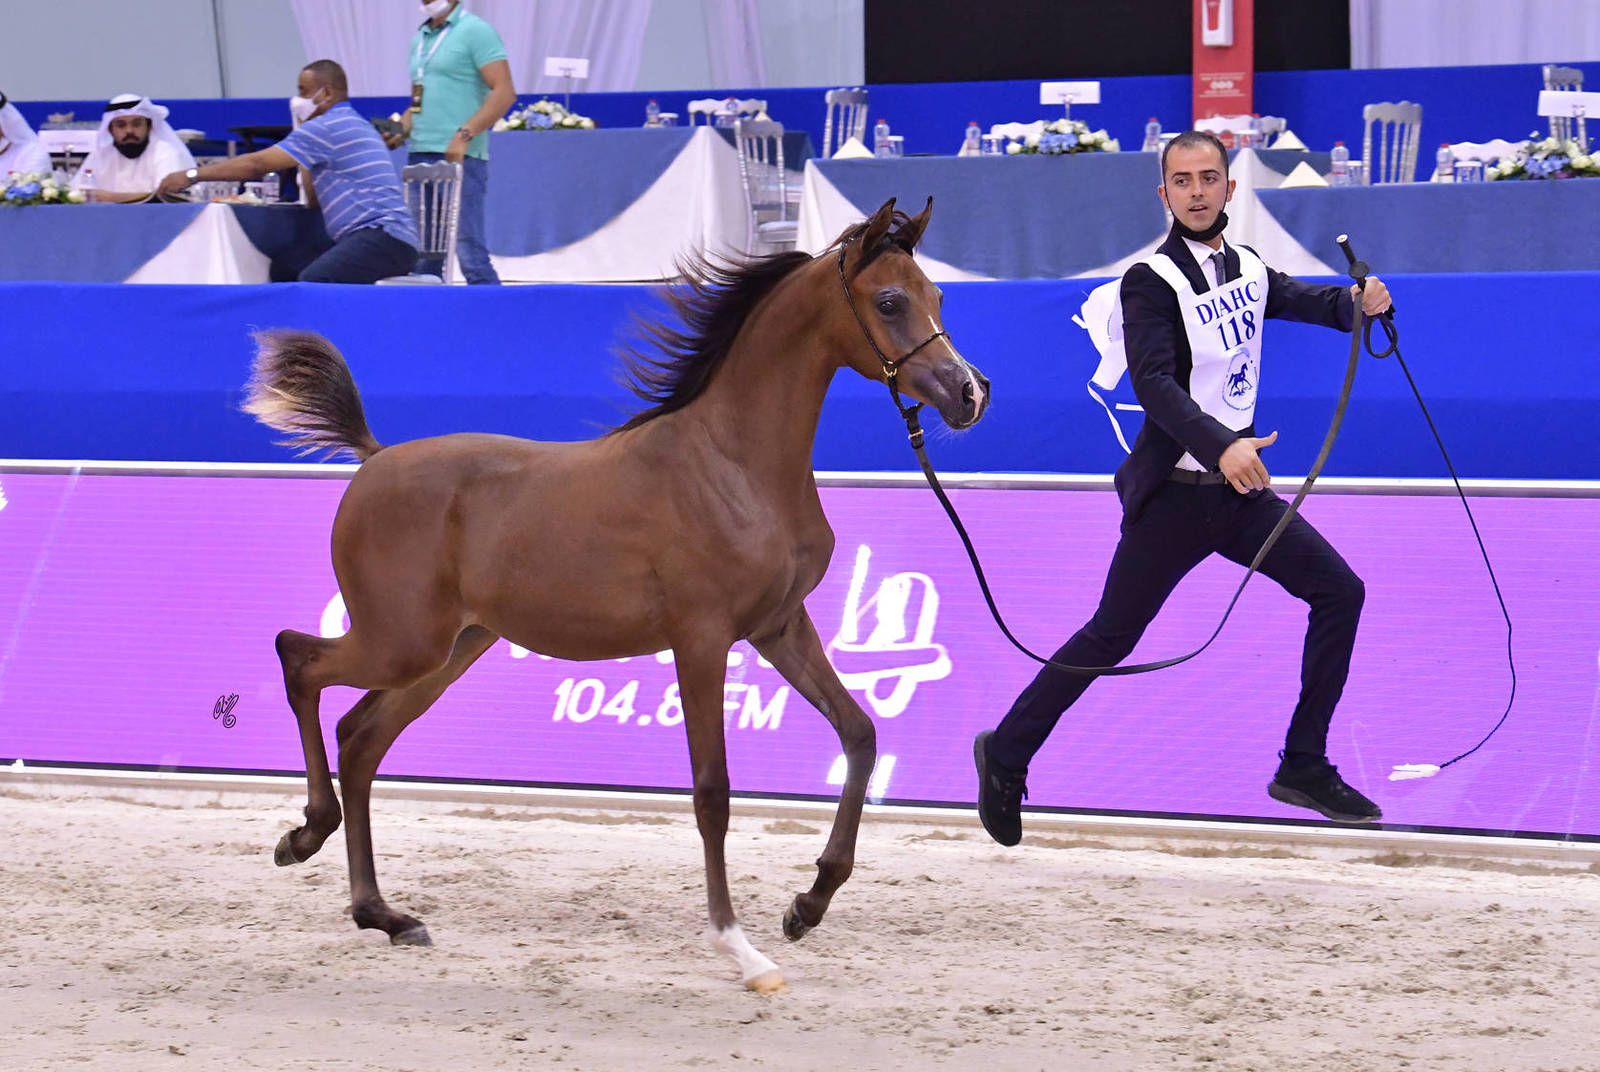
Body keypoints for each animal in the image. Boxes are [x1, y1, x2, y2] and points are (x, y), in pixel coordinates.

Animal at [242, 197, 989, 993]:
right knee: (299, 660)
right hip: (401, 640)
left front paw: (807, 905)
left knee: (361, 738)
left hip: (448, 650)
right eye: (890, 301)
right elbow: (712, 792)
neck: (735, 464)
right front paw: (741, 949)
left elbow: (860, 734)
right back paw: (305, 836)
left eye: (940, 297)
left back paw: (382, 914)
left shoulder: (780, 627)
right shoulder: (703, 640)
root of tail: (375, 458)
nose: (969, 393)